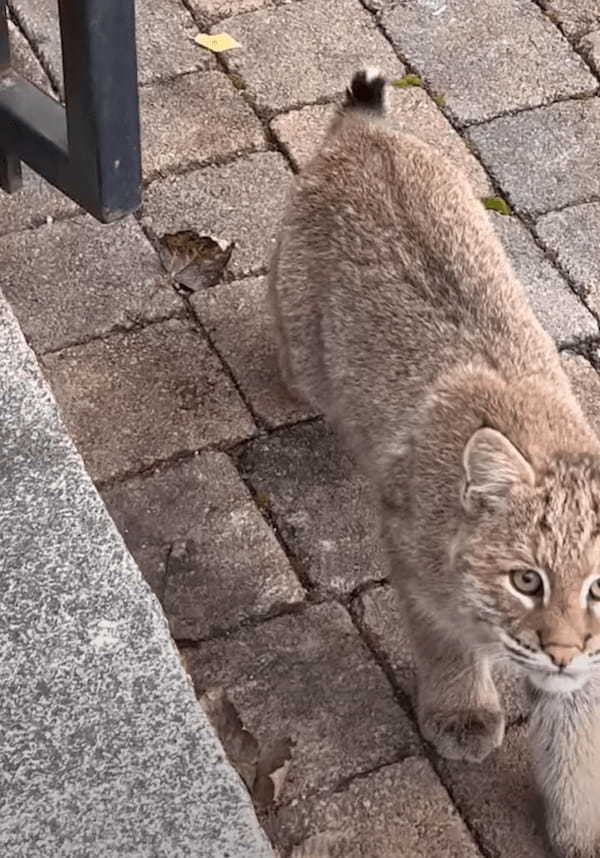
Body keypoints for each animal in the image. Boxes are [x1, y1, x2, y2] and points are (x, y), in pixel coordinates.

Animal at [270, 68, 600, 856]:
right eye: (526, 581)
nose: (562, 652)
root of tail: (368, 139)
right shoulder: (413, 558)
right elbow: (449, 644)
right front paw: (461, 713)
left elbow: (577, 732)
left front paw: (580, 828)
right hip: (301, 342)